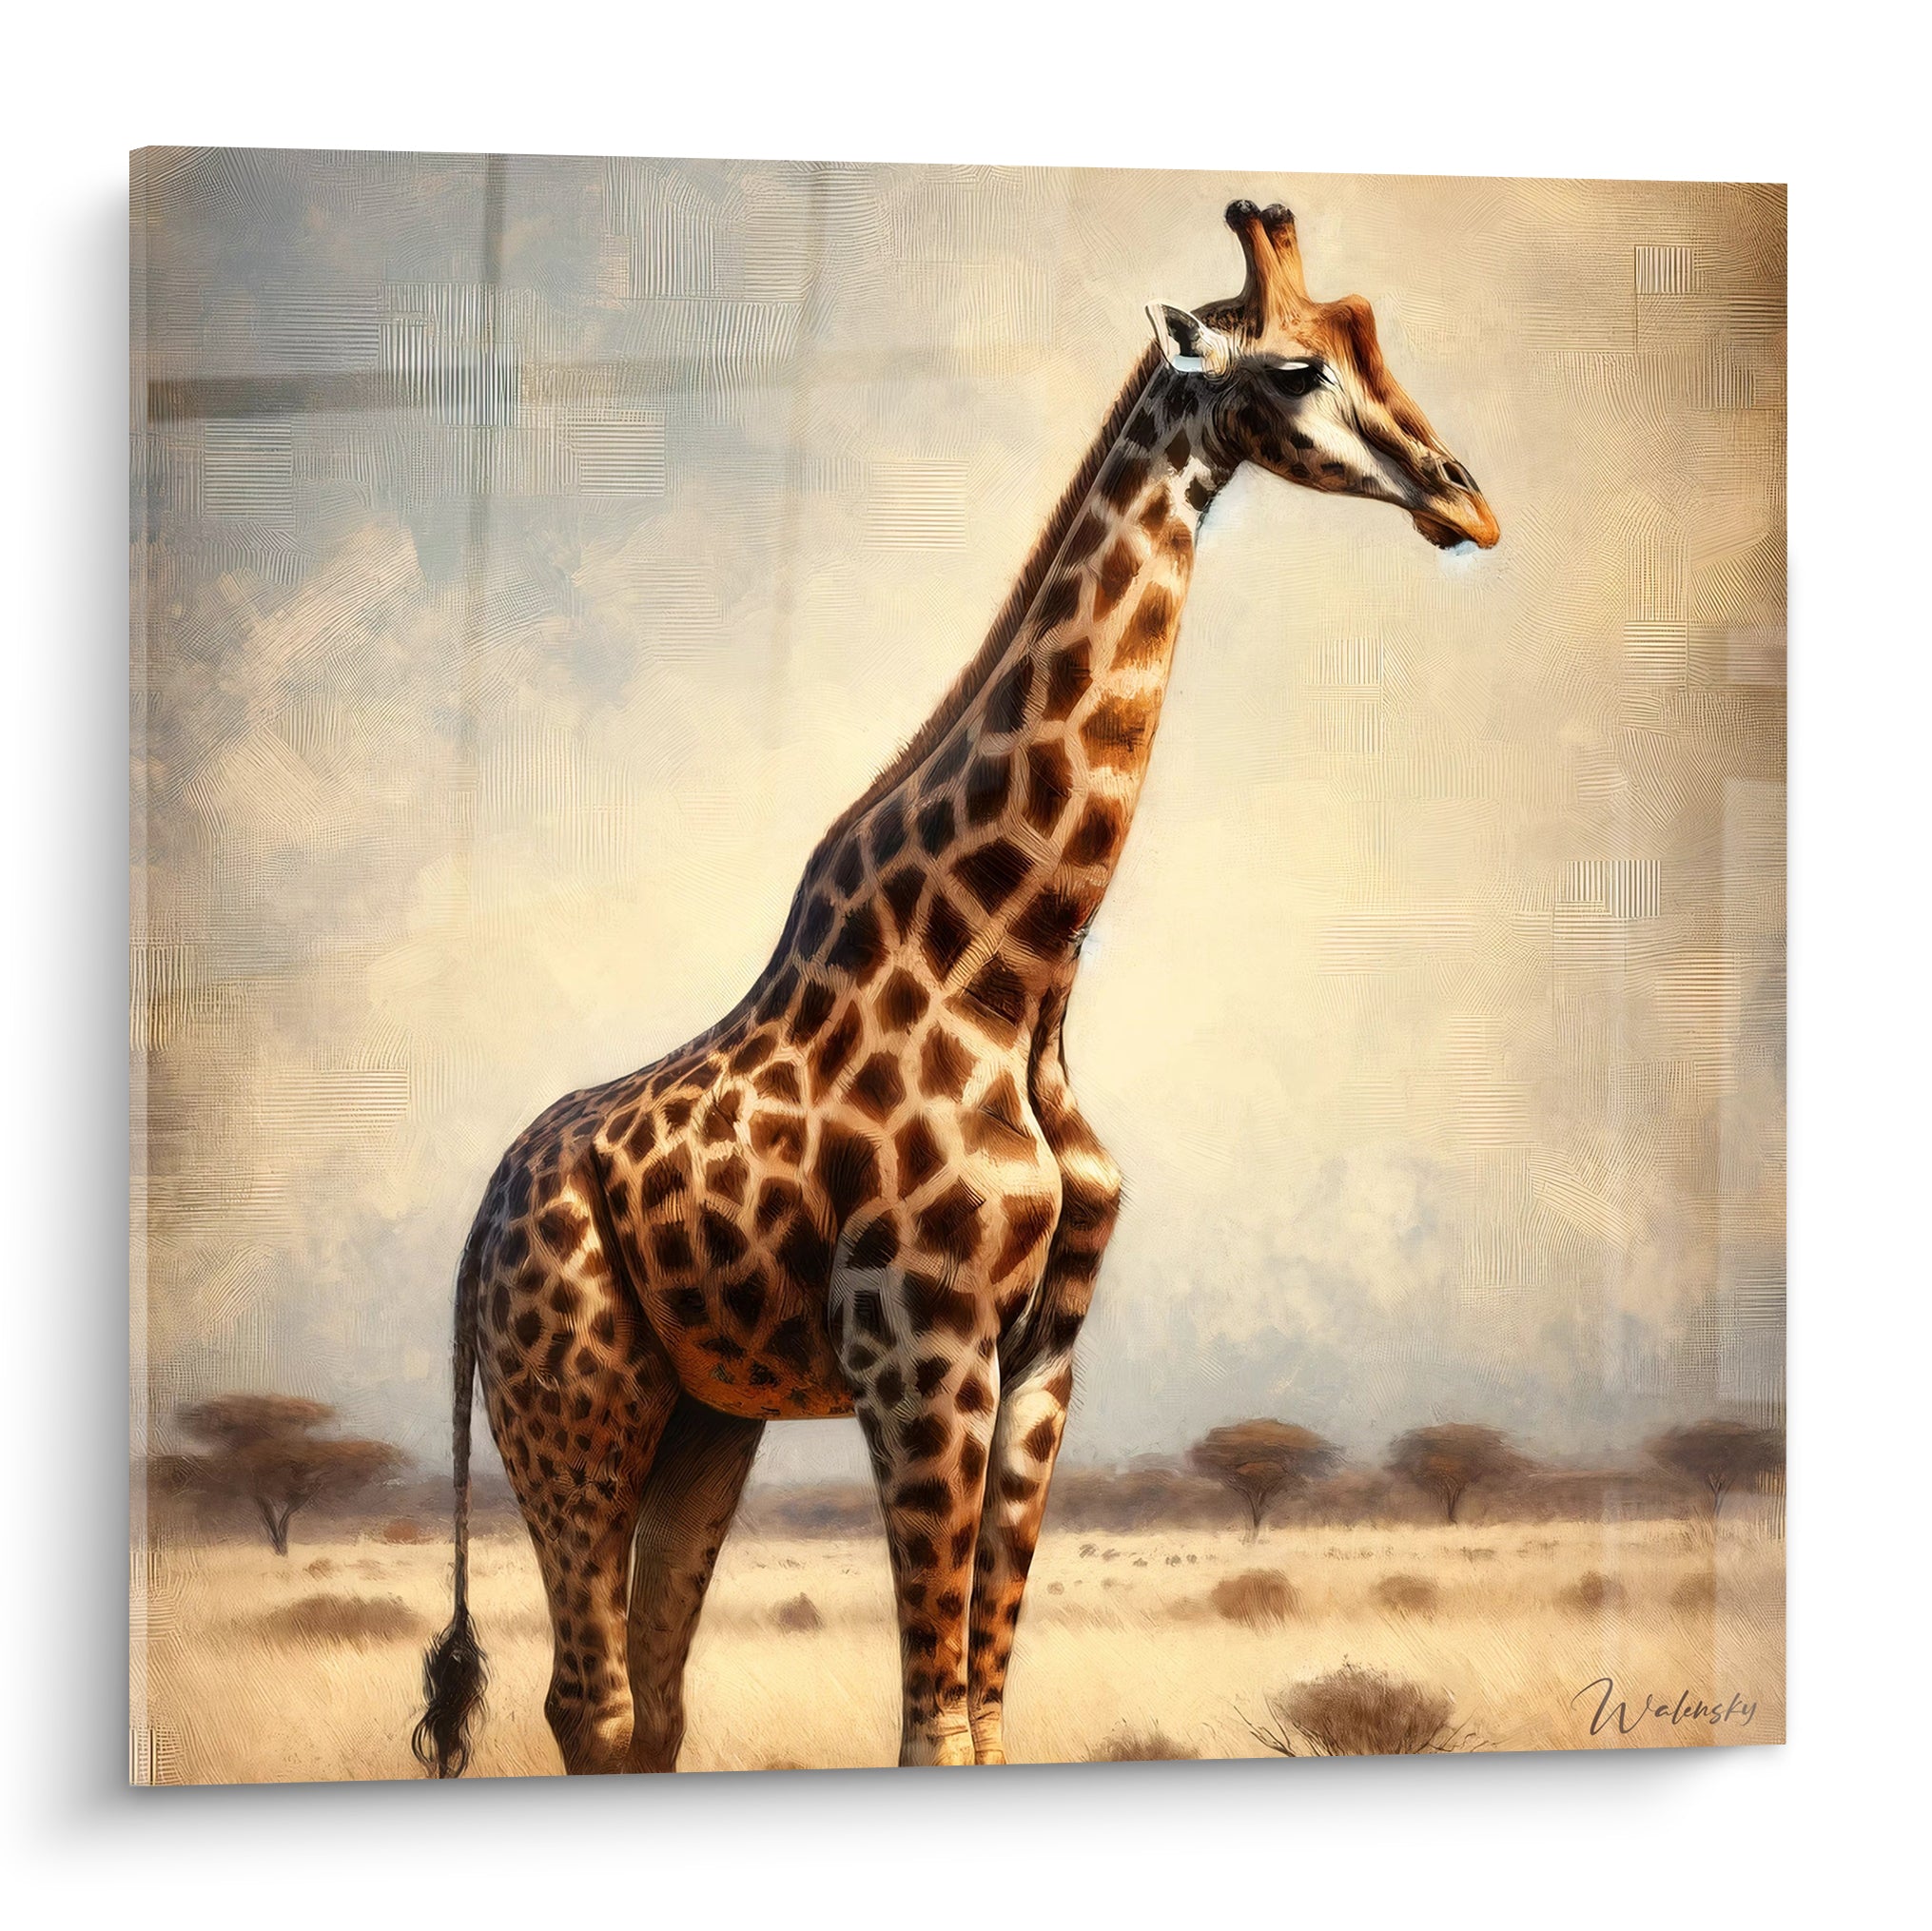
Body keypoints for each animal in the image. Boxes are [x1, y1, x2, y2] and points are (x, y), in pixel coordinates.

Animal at [413, 199, 1500, 1777]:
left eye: (1371, 340)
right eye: (1297, 367)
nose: (1465, 502)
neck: (1015, 972)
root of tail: (478, 1221)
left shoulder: (1044, 1350)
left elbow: (982, 1710)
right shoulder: (916, 1344)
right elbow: (929, 1727)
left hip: (698, 1414)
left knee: (651, 1701)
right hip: (570, 1394)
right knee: (588, 1696)